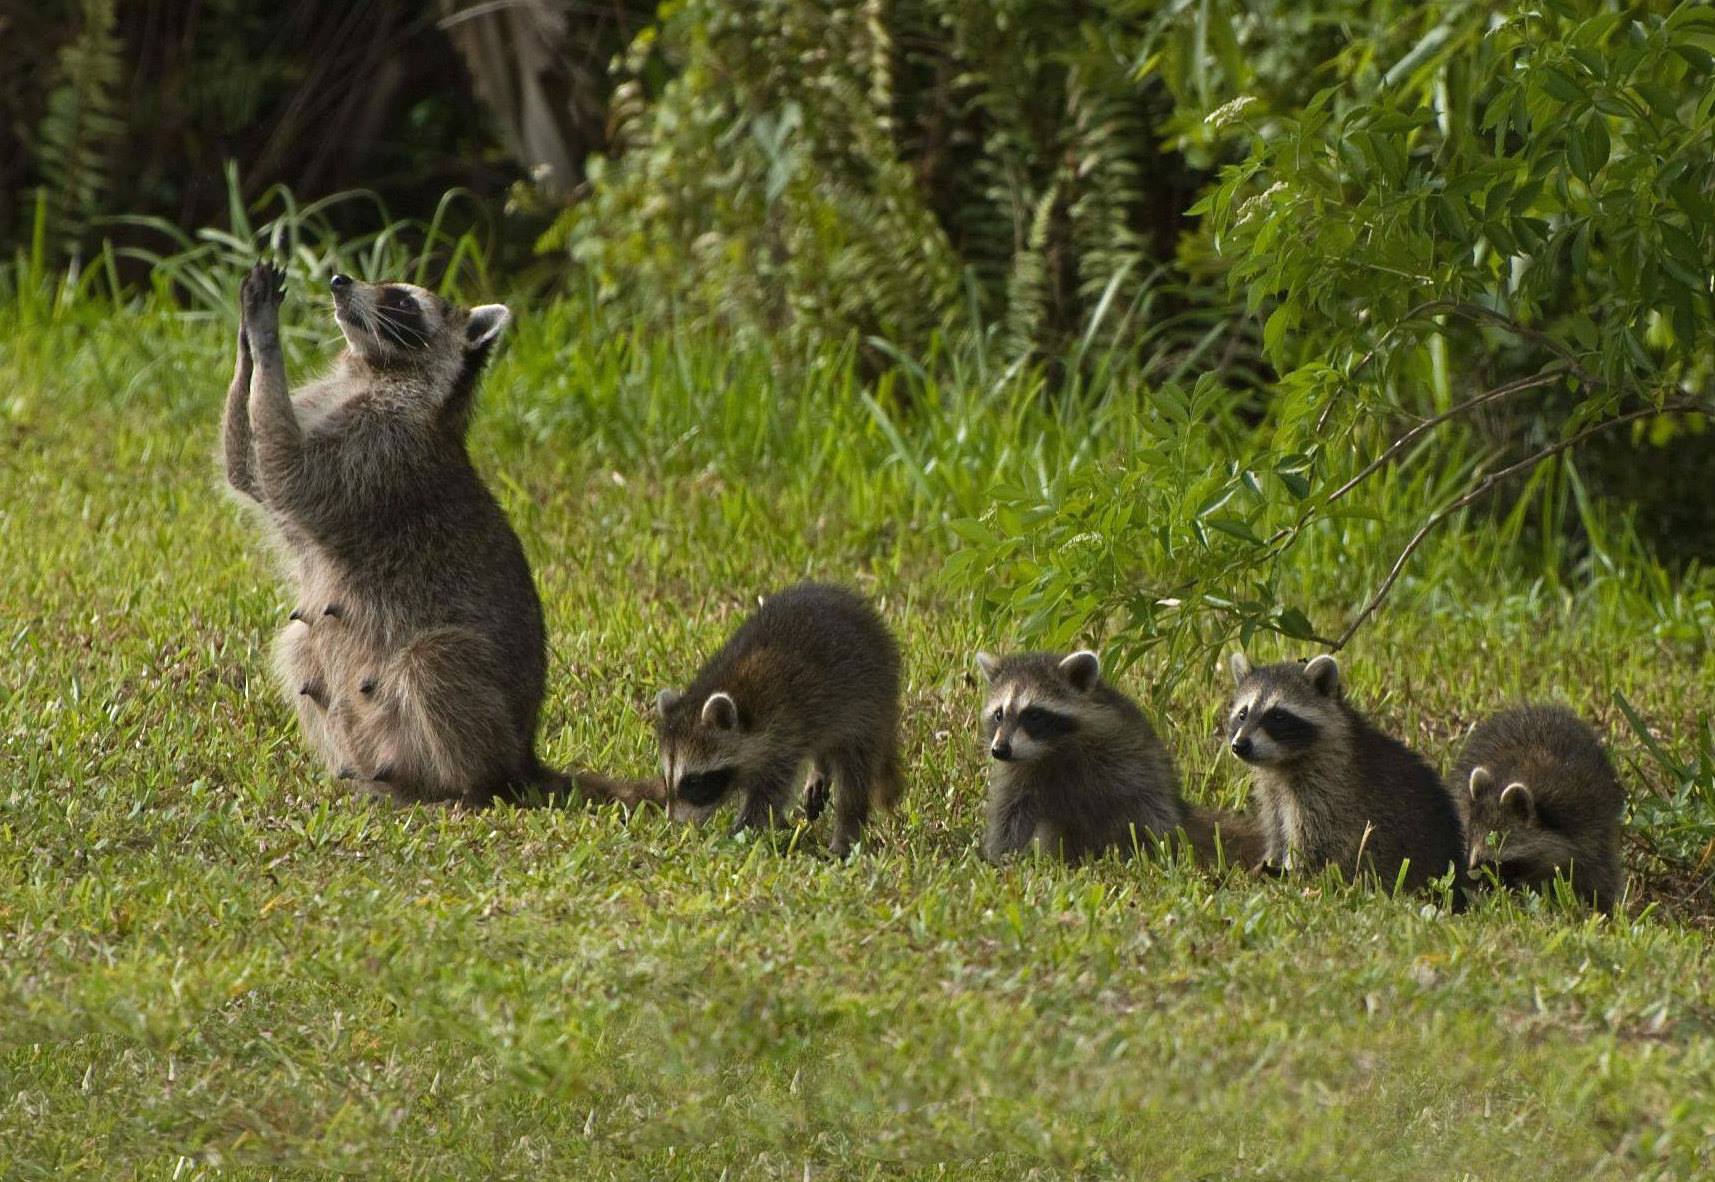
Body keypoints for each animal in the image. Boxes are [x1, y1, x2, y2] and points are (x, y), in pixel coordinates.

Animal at [223, 261, 619, 808]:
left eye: (401, 301)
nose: (339, 281)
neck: (374, 369)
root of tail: (523, 757)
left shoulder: (382, 447)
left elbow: (288, 474)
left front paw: (266, 342)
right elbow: (248, 469)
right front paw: (246, 338)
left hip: (472, 693)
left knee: (435, 662)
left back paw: (469, 788)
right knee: (299, 642)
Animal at [654, 583, 904, 857]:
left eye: (693, 782)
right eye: (667, 779)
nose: (675, 824)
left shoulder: (784, 735)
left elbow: (768, 798)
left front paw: (736, 835)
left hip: (868, 701)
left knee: (854, 774)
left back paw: (845, 833)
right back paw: (820, 769)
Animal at [976, 650, 1186, 865]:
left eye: (1034, 715)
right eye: (999, 715)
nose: (999, 750)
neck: (1048, 750)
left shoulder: (1123, 753)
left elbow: (1145, 803)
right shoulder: (1018, 774)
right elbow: (1010, 816)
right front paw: (1004, 857)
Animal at [1226, 653, 1463, 893]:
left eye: (1278, 717)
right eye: (1243, 714)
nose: (1240, 745)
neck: (1281, 763)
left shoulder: (1328, 790)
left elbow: (1315, 843)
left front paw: (1291, 878)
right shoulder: (1273, 792)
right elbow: (1277, 831)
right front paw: (1270, 863)